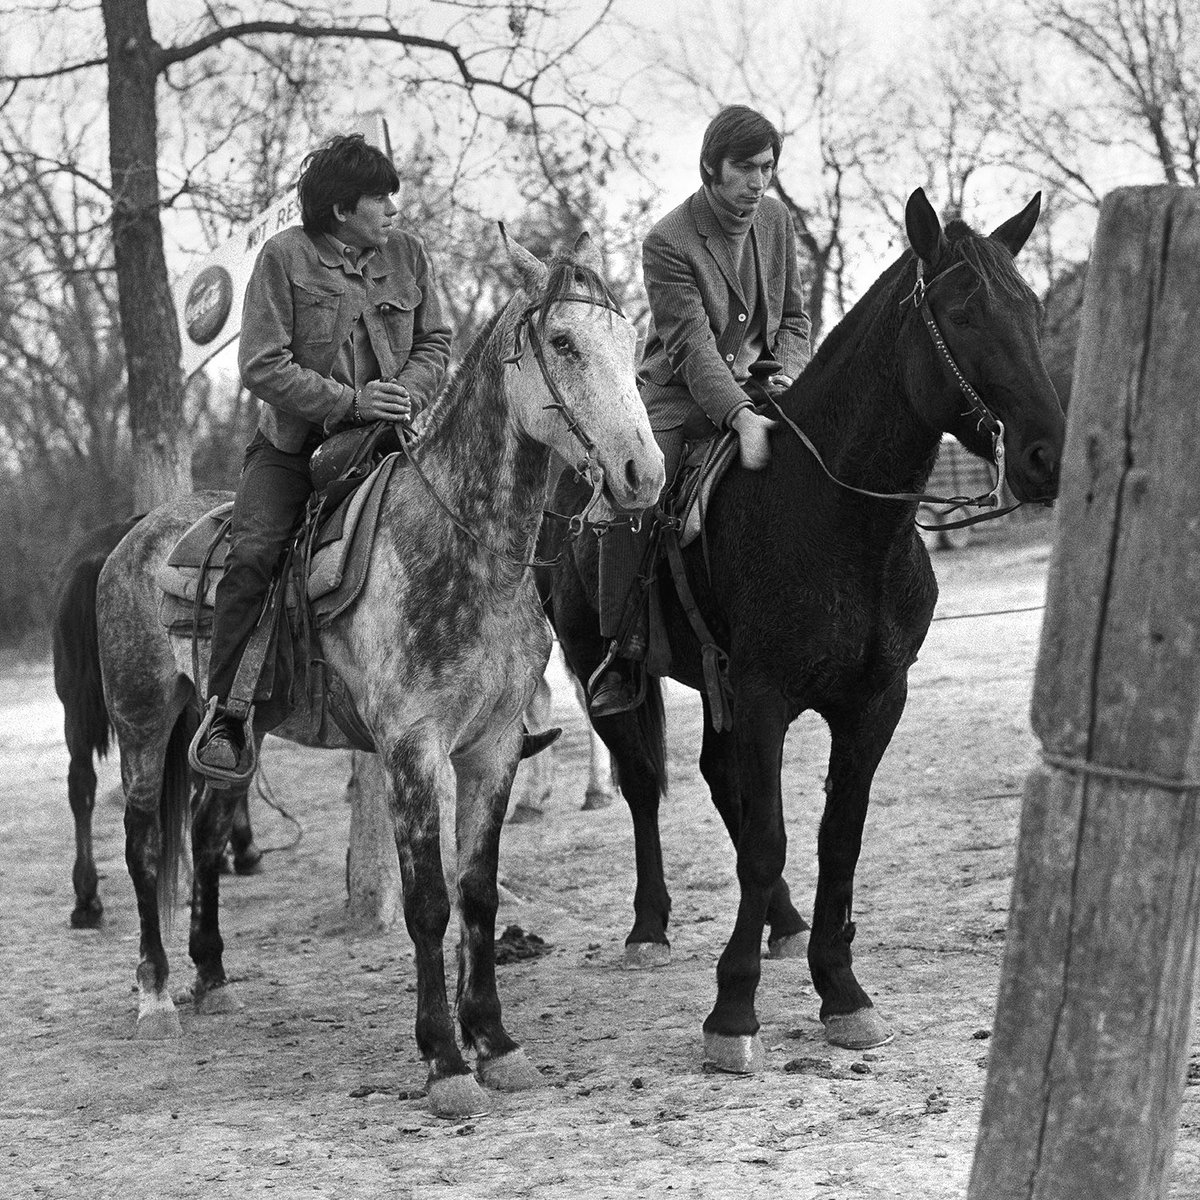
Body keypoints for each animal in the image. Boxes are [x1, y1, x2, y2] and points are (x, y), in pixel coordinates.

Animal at [92, 231, 665, 1117]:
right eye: (565, 343)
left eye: (632, 345)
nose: (644, 472)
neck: (461, 547)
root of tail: (133, 538)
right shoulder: (410, 747)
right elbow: (427, 903)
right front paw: (445, 1062)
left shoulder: (494, 747)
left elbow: (477, 892)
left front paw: (497, 1044)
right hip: (144, 723)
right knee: (147, 846)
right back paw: (155, 996)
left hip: (236, 730)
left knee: (208, 834)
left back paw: (213, 978)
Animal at [544, 189, 1066, 1072]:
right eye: (964, 312)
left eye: (1030, 309)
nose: (1045, 455)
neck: (835, 517)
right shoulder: (762, 697)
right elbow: (766, 838)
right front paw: (732, 1011)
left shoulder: (873, 703)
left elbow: (835, 838)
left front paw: (841, 990)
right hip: (601, 669)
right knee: (645, 784)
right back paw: (650, 927)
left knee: (718, 779)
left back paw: (782, 923)